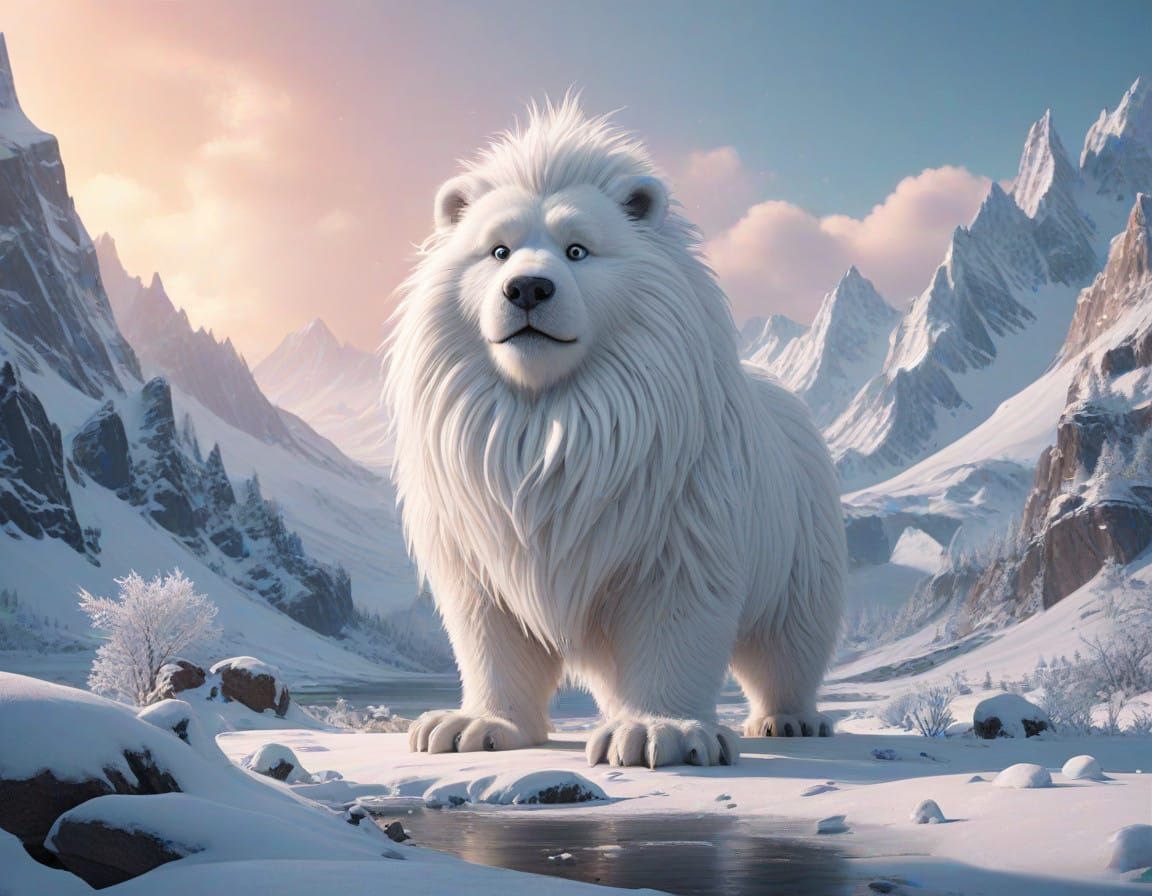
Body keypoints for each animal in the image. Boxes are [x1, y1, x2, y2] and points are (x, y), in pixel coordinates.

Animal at [386, 99, 845, 767]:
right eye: (497, 250)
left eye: (578, 249)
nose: (528, 287)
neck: (553, 421)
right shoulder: (479, 542)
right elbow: (489, 634)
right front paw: (468, 727)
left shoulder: (684, 522)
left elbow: (675, 623)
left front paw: (658, 734)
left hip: (801, 547)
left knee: (790, 641)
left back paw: (788, 720)